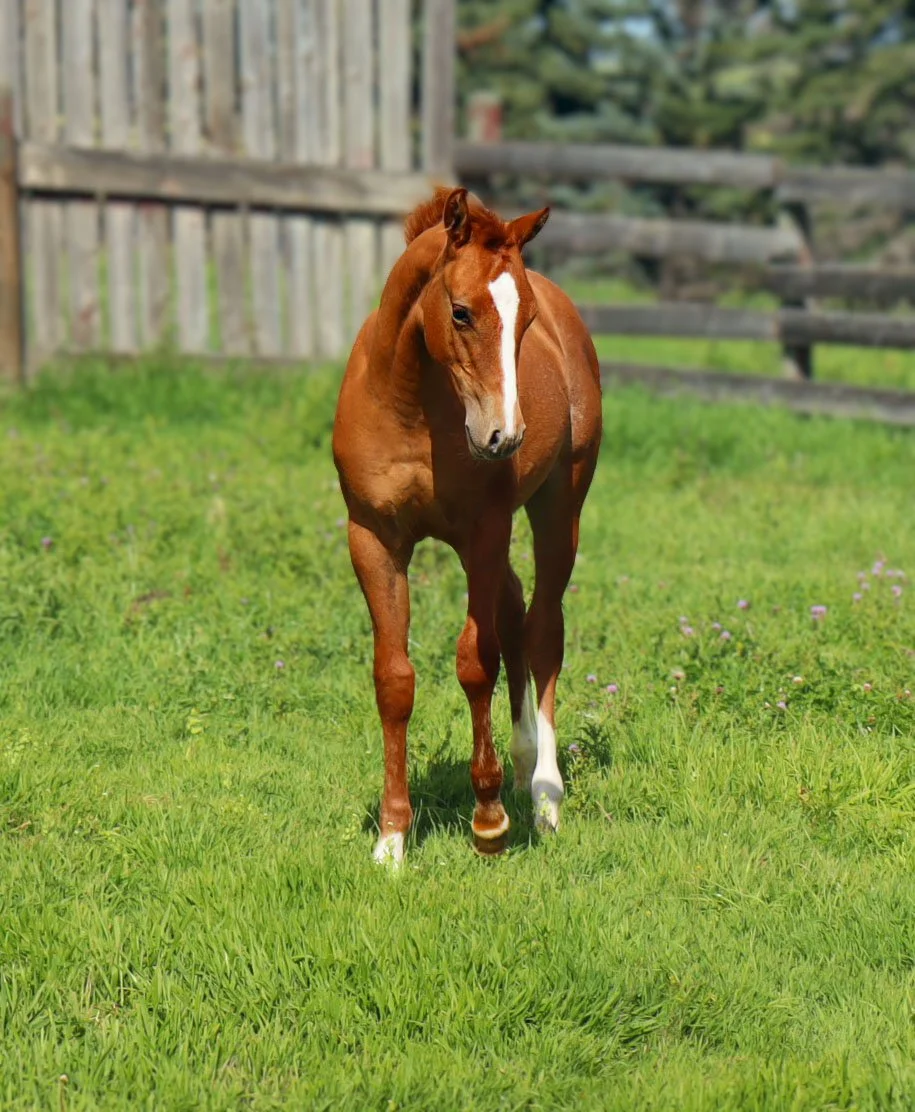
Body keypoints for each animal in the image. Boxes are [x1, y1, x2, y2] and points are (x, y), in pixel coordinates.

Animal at [332, 186, 602, 865]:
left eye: (525, 320)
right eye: (460, 312)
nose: (504, 436)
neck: (411, 408)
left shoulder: (483, 531)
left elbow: (475, 662)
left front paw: (489, 821)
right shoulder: (372, 538)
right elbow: (394, 679)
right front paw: (392, 839)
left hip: (557, 510)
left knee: (542, 630)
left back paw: (544, 797)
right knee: (513, 610)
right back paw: (523, 758)